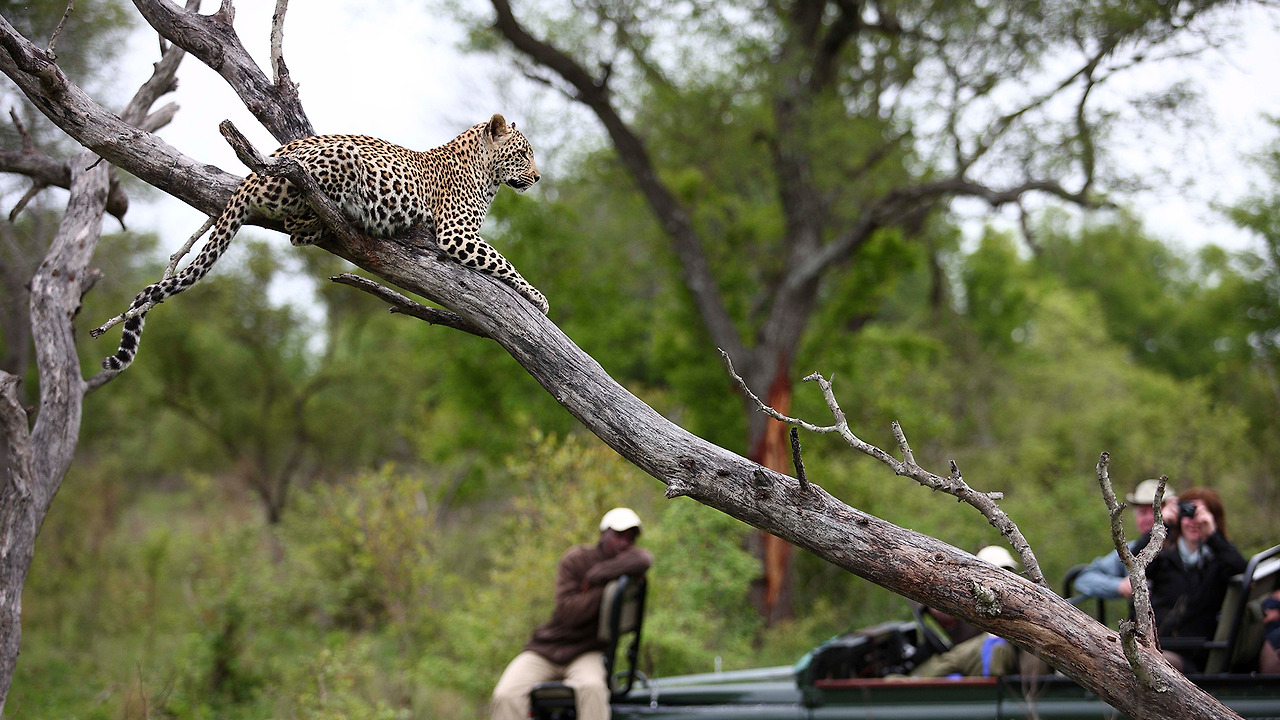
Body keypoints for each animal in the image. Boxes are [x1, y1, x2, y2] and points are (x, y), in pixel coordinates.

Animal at [94, 113, 547, 372]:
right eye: (523, 154)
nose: (539, 177)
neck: (486, 174)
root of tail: (253, 173)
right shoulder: (457, 234)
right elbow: (503, 262)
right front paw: (539, 299)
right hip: (339, 163)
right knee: (297, 225)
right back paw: (334, 221)